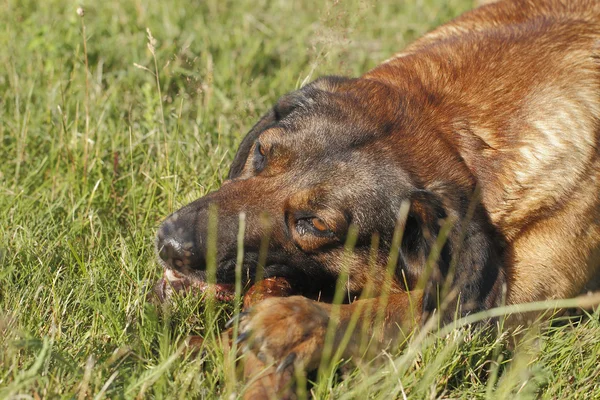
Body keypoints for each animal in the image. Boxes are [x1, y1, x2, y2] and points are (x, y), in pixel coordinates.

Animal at [156, 0, 600, 396]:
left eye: (314, 224)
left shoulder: (505, 309)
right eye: (262, 152)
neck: (443, 120)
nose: (168, 243)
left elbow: (395, 308)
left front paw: (295, 323)